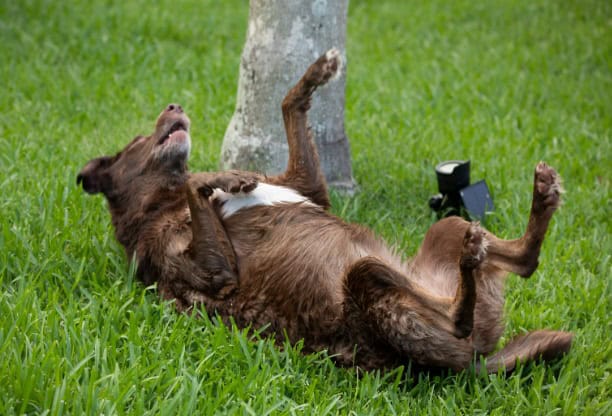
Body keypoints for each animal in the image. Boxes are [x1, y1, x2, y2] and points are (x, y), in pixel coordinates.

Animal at [79, 49, 572, 374]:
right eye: (139, 141)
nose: (174, 105)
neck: (158, 204)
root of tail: (475, 362)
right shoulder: (208, 274)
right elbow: (200, 190)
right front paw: (225, 179)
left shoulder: (306, 186)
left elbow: (288, 104)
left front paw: (318, 71)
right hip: (367, 281)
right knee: (456, 313)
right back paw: (475, 262)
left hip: (447, 225)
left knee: (524, 260)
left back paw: (540, 198)